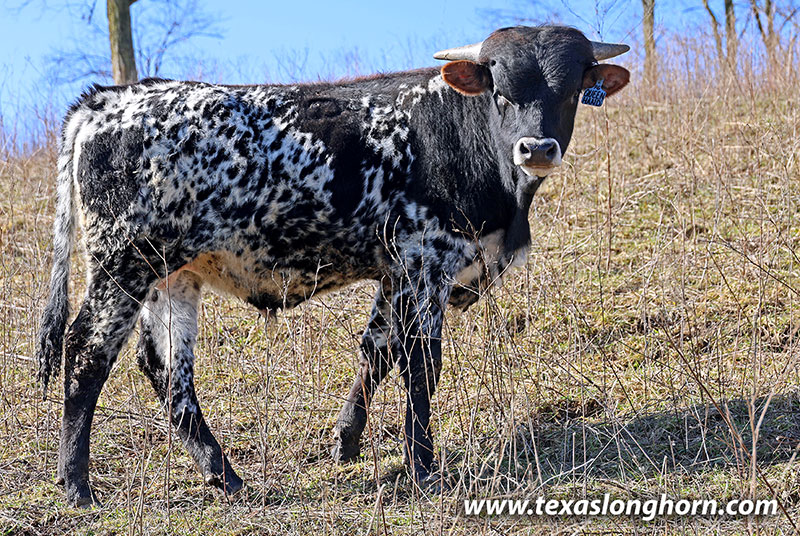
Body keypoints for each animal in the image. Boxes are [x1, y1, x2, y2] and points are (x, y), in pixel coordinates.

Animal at [36, 25, 629, 506]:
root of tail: (106, 99)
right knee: (86, 352)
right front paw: (423, 467)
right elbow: (421, 364)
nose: (537, 149)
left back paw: (224, 475)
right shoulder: (426, 263)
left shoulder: (396, 273)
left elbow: (377, 350)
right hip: (122, 263)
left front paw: (347, 441)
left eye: (571, 89)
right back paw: (77, 484)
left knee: (165, 369)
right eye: (500, 91)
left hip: (172, 275)